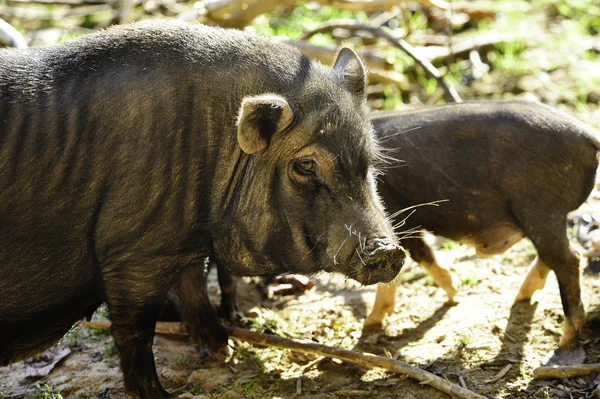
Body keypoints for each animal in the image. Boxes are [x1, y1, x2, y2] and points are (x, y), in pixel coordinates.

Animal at [0, 20, 408, 398]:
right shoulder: (131, 252)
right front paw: (160, 394)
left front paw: (222, 348)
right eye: (306, 165)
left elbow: (193, 281)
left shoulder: (183, 242)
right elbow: (135, 329)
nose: (389, 251)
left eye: (369, 160)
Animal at [364, 101, 596, 358]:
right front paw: (454, 294)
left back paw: (563, 344)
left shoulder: (393, 212)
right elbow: (418, 253)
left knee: (568, 259)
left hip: (541, 206)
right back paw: (520, 298)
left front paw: (369, 324)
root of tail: (587, 134)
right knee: (555, 255)